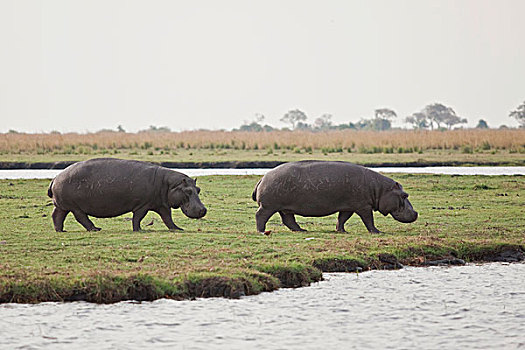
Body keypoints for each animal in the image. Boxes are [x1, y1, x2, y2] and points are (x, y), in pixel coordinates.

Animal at [47, 159, 207, 232]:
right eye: (188, 191)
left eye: (198, 189)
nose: (203, 210)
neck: (169, 184)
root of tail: (55, 177)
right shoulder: (143, 205)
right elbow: (138, 218)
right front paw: (138, 230)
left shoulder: (162, 205)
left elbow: (168, 218)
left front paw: (178, 229)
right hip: (75, 207)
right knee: (81, 217)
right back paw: (96, 229)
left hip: (63, 205)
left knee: (57, 215)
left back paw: (60, 230)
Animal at [251, 161, 418, 232]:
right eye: (405, 195)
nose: (416, 213)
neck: (380, 189)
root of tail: (263, 178)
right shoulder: (363, 206)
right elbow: (368, 220)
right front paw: (377, 232)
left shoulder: (348, 207)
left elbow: (342, 219)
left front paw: (341, 231)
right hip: (268, 206)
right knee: (260, 216)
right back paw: (261, 231)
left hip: (284, 208)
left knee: (288, 220)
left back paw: (302, 230)